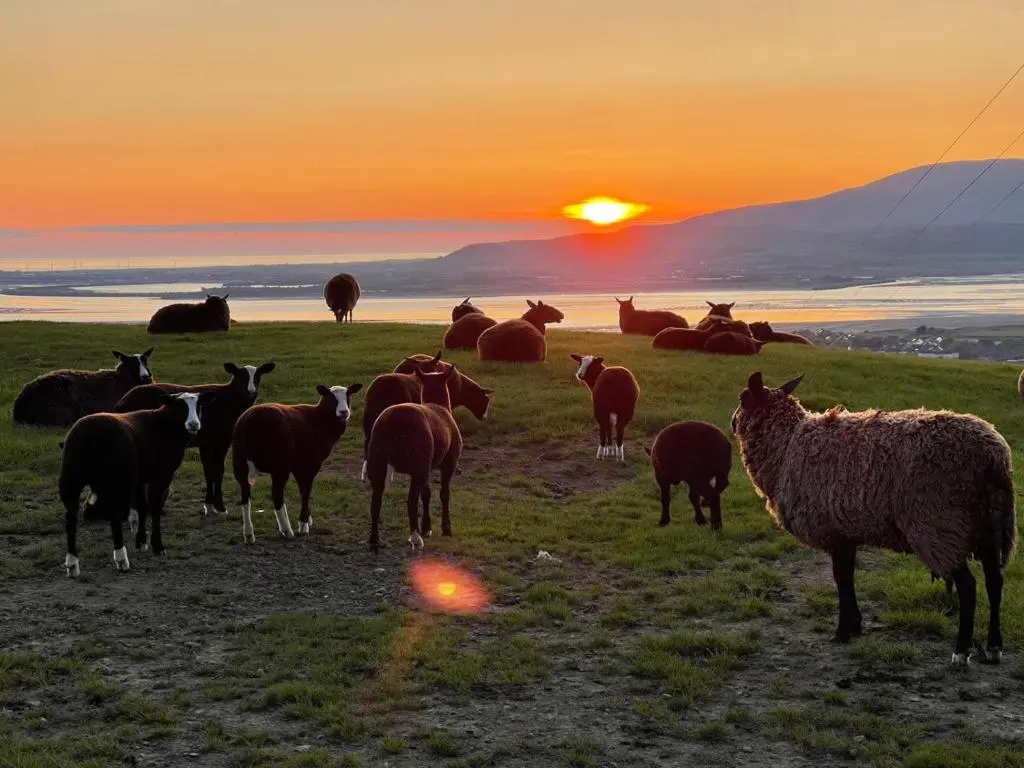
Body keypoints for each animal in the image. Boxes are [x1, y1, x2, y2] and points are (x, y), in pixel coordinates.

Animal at [59, 392, 212, 577]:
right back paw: (121, 559)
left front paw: (141, 542)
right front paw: (158, 547)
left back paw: (72, 563)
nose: (194, 424)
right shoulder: (162, 475)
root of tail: (88, 432)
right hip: (115, 478)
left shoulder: (140, 476)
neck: (165, 425)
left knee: (71, 520)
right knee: (114, 517)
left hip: (71, 479)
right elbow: (154, 507)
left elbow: (141, 506)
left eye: (198, 405)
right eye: (179, 406)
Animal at [115, 361, 276, 516]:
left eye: (258, 376)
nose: (252, 392)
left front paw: (209, 506)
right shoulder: (220, 441)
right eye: (241, 376)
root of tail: (122, 403)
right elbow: (218, 471)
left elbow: (208, 472)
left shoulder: (206, 443)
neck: (229, 399)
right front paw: (220, 507)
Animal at [231, 382, 362, 543]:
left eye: (349, 396)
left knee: (245, 496)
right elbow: (306, 491)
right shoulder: (309, 463)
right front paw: (303, 524)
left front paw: (308, 519)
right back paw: (286, 531)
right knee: (276, 494)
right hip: (279, 463)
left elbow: (302, 489)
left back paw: (249, 534)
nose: (344, 412)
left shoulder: (297, 465)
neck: (319, 419)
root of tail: (250, 420)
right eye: (331, 398)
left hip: (239, 462)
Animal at [366, 364, 462, 554]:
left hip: (378, 461)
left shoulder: (427, 466)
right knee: (411, 501)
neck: (438, 404)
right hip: (417, 465)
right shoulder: (448, 463)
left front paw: (427, 527)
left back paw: (374, 539)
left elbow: (427, 494)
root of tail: (393, 420)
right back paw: (415, 537)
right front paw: (446, 528)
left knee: (376, 500)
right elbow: (444, 493)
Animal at [731, 371, 1017, 664]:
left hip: (941, 525)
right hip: (990, 524)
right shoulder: (844, 532)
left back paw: (961, 651)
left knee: (968, 587)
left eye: (743, 398)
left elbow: (841, 578)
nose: (731, 422)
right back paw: (994, 647)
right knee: (995, 581)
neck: (786, 447)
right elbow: (846, 576)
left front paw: (843, 631)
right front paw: (854, 626)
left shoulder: (832, 530)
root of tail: (993, 458)